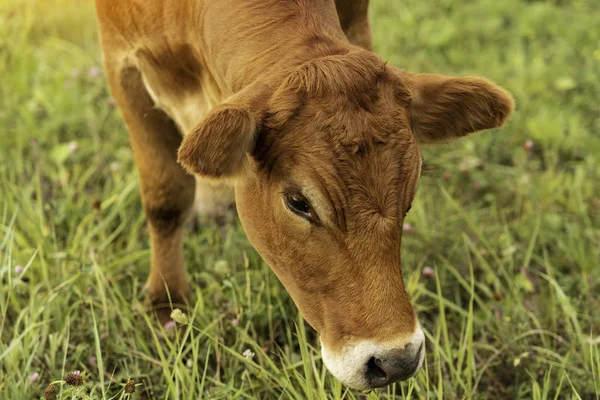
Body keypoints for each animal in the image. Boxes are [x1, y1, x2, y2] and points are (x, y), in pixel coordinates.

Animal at [95, 0, 516, 390]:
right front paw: (165, 304)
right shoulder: (121, 59)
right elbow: (165, 196)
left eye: (409, 197)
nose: (395, 360)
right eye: (299, 203)